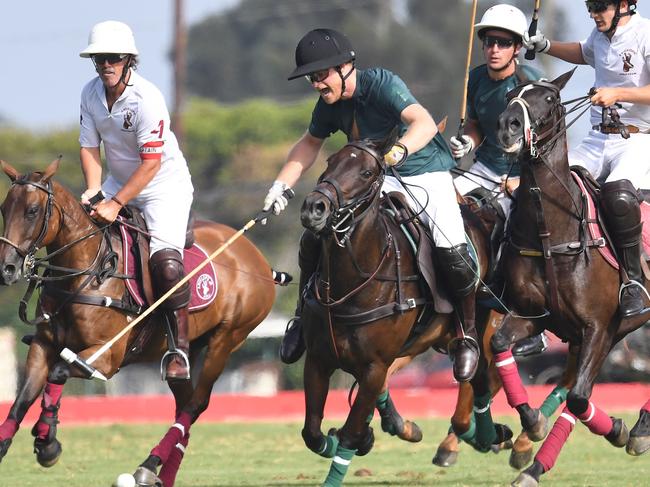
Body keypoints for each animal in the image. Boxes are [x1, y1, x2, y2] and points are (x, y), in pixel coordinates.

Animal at [0, 160, 276, 487]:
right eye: (4, 209)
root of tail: (257, 258)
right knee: (184, 404)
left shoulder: (106, 358)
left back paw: (147, 465)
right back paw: (161, 475)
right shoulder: (43, 345)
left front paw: (47, 443)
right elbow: (21, 400)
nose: (7, 268)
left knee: (196, 403)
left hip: (227, 339)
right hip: (188, 350)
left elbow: (57, 373)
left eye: (32, 210)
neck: (86, 272)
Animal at [296, 135, 512, 486]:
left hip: (481, 326)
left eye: (367, 172)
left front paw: (357, 439)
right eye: (329, 163)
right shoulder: (317, 359)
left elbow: (351, 432)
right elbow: (312, 433)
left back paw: (489, 433)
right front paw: (362, 435)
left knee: (478, 373)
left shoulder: (374, 367)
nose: (315, 208)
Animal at [492, 70, 648, 486]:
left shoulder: (600, 327)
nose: (507, 126)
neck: (553, 233)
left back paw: (640, 428)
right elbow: (499, 342)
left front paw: (620, 430)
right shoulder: (539, 317)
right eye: (511, 94)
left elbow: (579, 398)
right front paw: (531, 425)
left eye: (549, 99)